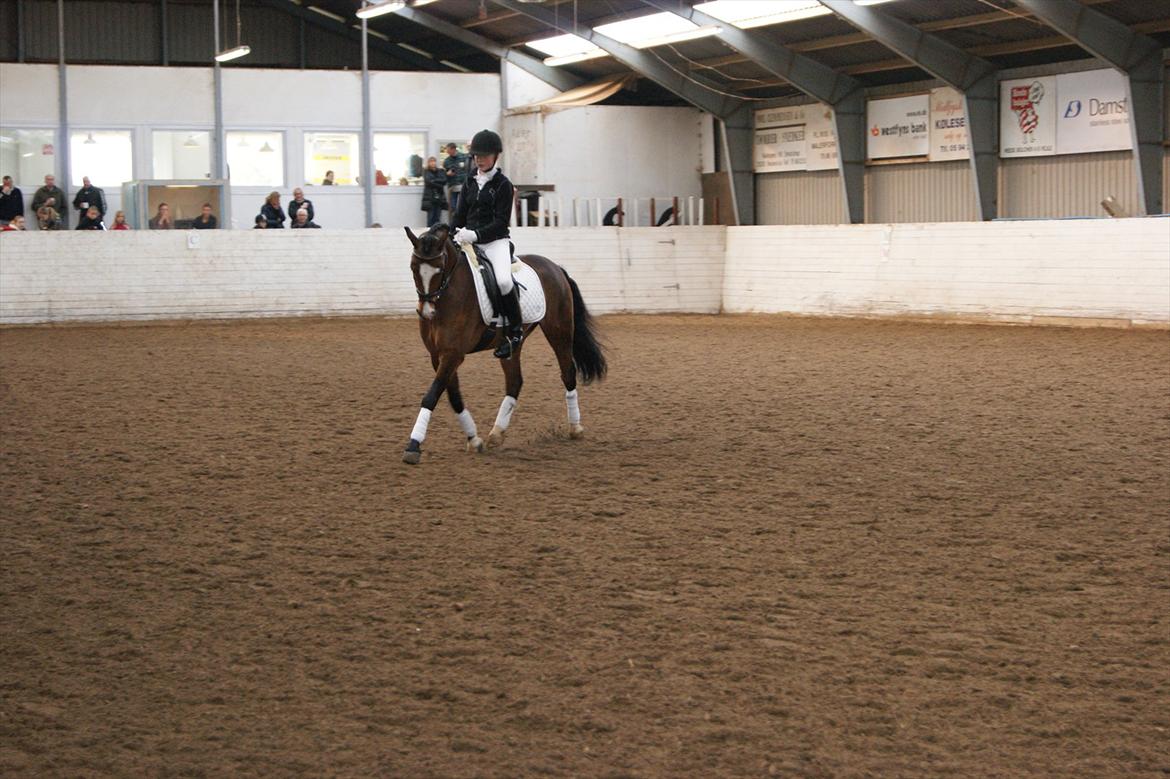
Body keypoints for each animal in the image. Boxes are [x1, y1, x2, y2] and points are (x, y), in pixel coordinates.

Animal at [402, 219, 608, 460]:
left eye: (440, 269)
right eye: (413, 267)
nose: (426, 312)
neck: (448, 295)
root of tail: (555, 267)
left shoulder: (453, 354)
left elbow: (432, 395)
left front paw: (413, 445)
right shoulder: (438, 355)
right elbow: (453, 396)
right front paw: (474, 439)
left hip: (560, 331)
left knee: (567, 372)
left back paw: (575, 428)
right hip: (511, 345)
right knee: (514, 381)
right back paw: (496, 433)